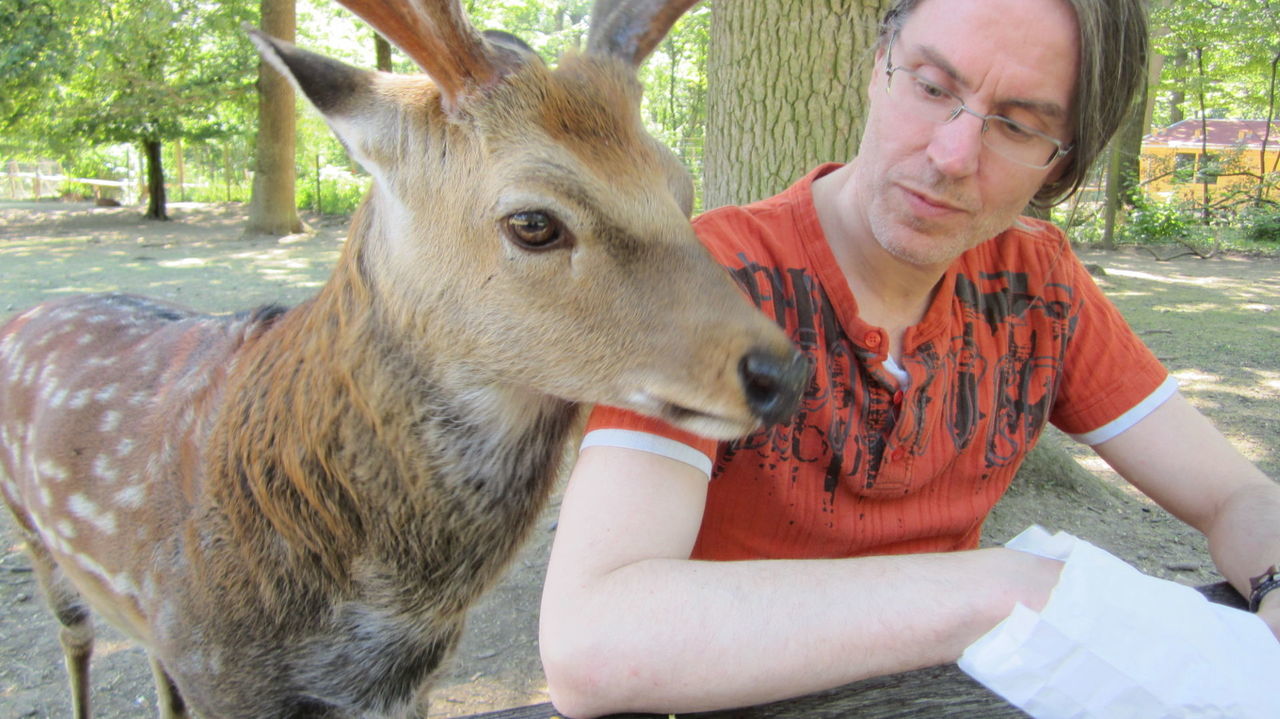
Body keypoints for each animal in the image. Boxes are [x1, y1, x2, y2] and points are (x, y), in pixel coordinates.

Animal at [0, 1, 803, 716]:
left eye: (679, 183)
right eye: (533, 221)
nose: (782, 372)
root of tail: (25, 312)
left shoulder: (406, 685)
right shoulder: (215, 667)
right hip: (37, 537)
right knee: (77, 638)